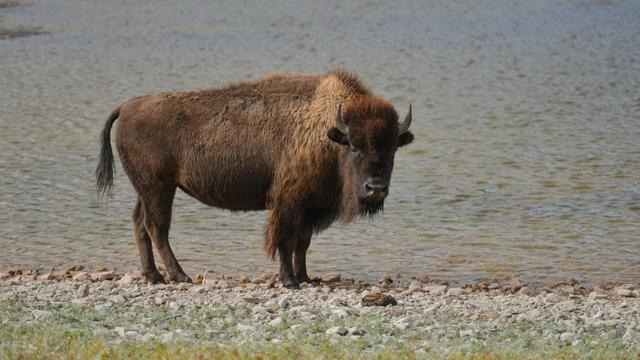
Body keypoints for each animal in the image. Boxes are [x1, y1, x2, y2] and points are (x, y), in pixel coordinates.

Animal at [96, 71, 416, 290]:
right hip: (159, 188)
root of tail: (127, 106)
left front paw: (306, 278)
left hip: (148, 189)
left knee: (140, 223)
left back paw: (154, 276)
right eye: (354, 145)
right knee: (157, 228)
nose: (375, 189)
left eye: (392, 149)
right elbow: (285, 242)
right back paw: (180, 276)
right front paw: (290, 281)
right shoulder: (288, 204)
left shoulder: (309, 208)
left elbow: (302, 244)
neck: (327, 133)